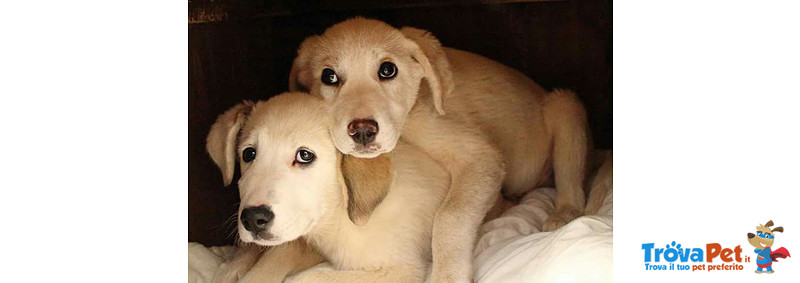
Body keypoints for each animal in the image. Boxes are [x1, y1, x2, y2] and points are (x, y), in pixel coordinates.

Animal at [206, 93, 454, 282]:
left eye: (305, 155)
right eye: (249, 154)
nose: (253, 218)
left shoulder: (402, 270)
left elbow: (307, 277)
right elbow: (272, 259)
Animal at [290, 17, 592, 282]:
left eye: (388, 70)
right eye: (329, 76)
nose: (362, 131)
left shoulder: (479, 156)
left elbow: (449, 217)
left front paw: (448, 276)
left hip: (565, 107)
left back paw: (564, 213)